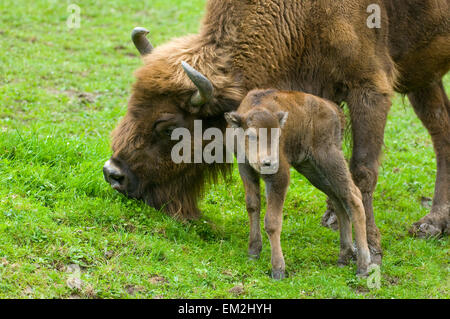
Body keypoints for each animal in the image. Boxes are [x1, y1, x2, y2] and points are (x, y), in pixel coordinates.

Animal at [227, 89, 370, 278]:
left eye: (278, 135)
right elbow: (252, 206)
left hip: (329, 158)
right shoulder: (245, 169)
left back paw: (363, 267)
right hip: (311, 169)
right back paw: (343, 257)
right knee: (338, 199)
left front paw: (278, 269)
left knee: (353, 196)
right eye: (250, 135)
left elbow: (272, 221)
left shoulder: (279, 176)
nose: (268, 163)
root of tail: (335, 110)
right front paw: (253, 252)